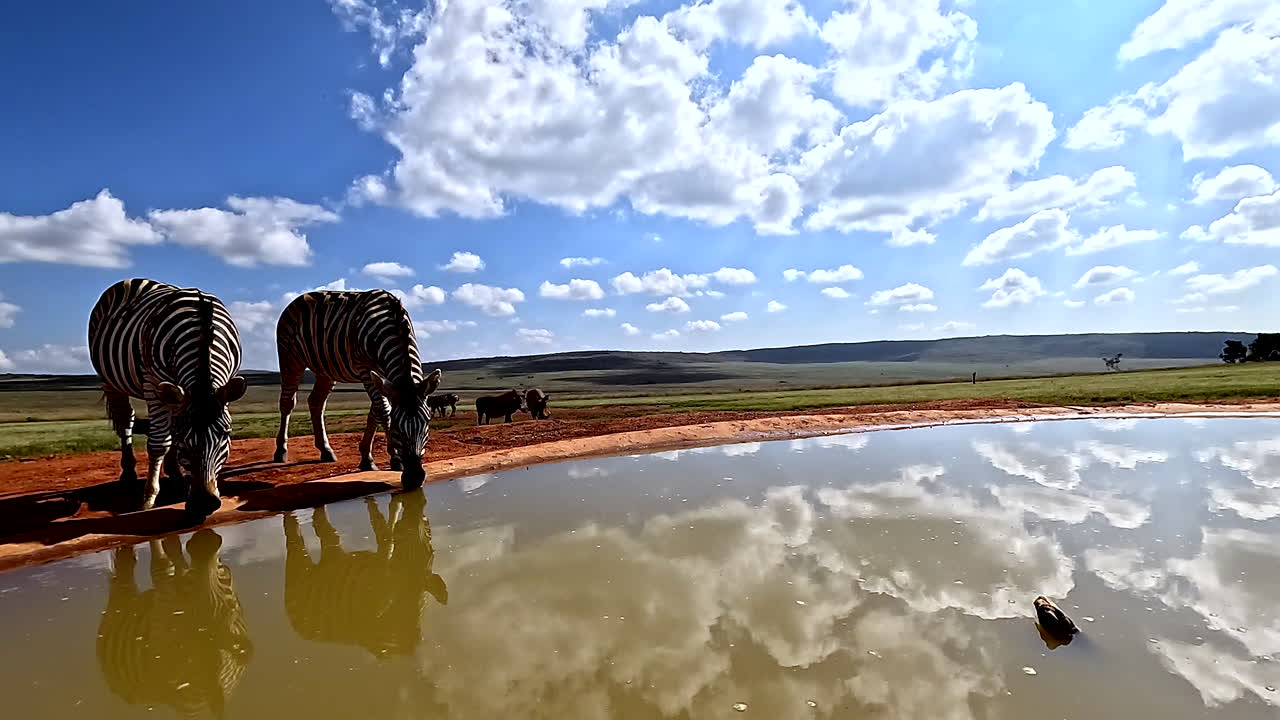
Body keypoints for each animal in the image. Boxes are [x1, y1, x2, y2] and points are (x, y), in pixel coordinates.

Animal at [88, 279, 246, 516]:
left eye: (225, 434)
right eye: (184, 438)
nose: (204, 503)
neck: (202, 329)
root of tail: (133, 280)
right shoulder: (153, 382)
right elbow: (159, 442)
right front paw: (149, 497)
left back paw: (174, 472)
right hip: (110, 379)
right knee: (125, 420)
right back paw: (129, 473)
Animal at [96, 530, 253, 717]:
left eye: (231, 606)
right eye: (187, 586)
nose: (205, 542)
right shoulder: (165, 596)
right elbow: (165, 562)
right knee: (123, 585)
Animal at [273, 289, 442, 489]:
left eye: (428, 421)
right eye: (396, 427)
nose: (415, 478)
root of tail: (297, 299)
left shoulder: (383, 377)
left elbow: (374, 413)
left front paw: (366, 458)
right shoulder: (365, 367)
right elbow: (382, 410)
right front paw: (395, 458)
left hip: (326, 370)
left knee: (316, 402)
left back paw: (326, 450)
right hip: (290, 358)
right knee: (287, 402)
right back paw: (281, 451)